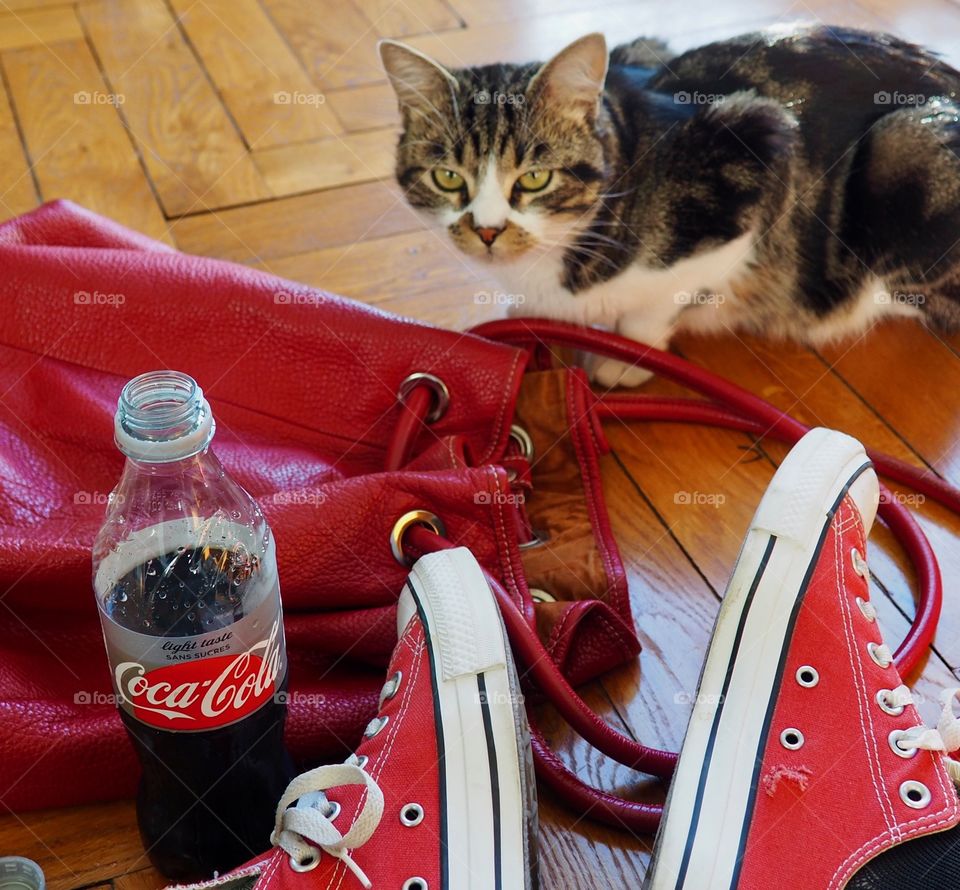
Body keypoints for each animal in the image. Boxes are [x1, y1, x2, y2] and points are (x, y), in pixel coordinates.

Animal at [378, 26, 960, 386]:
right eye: (448, 177)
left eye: (536, 178)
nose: (488, 231)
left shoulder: (759, 146)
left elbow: (657, 304)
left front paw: (625, 359)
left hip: (904, 144)